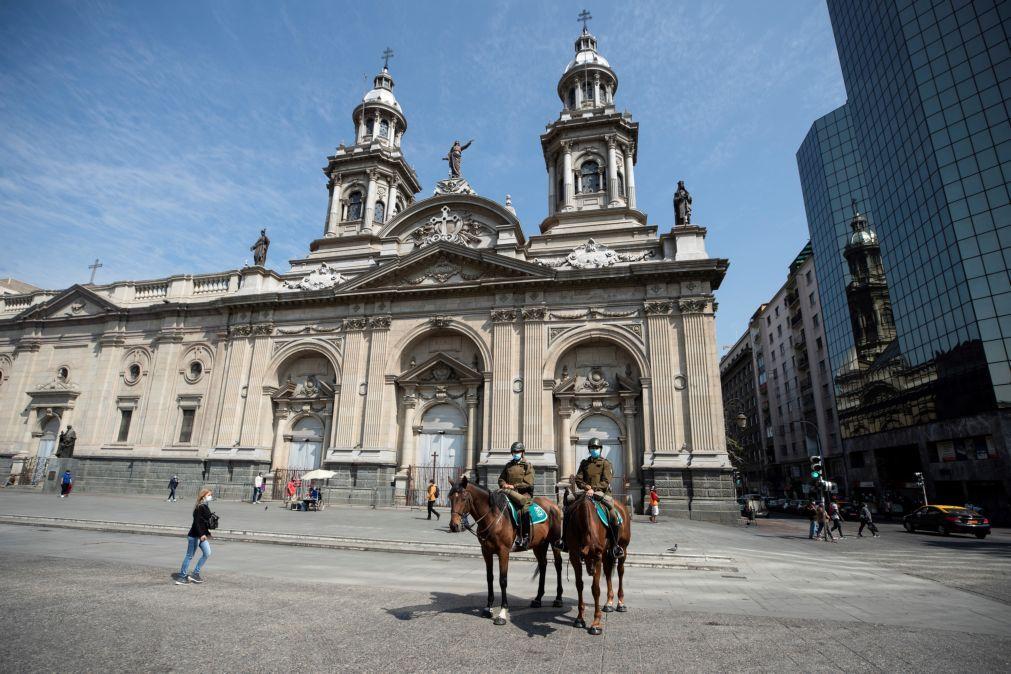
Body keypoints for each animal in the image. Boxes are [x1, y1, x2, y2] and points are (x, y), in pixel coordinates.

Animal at [446, 476, 566, 626]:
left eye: (463, 498)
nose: (454, 526)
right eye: (450, 497)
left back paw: (558, 599)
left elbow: (503, 580)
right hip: (539, 544)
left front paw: (502, 613)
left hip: (555, 542)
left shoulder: (503, 552)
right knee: (543, 565)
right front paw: (488, 608)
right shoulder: (486, 552)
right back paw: (538, 599)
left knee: (558, 565)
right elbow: (489, 578)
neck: (493, 517)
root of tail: (553, 505)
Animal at [566, 493, 626, 634]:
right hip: (606, 554)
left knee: (620, 571)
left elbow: (595, 589)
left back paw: (621, 603)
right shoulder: (575, 556)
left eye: (595, 557)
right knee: (608, 572)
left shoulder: (598, 559)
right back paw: (609, 603)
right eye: (584, 556)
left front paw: (596, 623)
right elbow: (579, 585)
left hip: (623, 548)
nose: (591, 571)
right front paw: (579, 618)